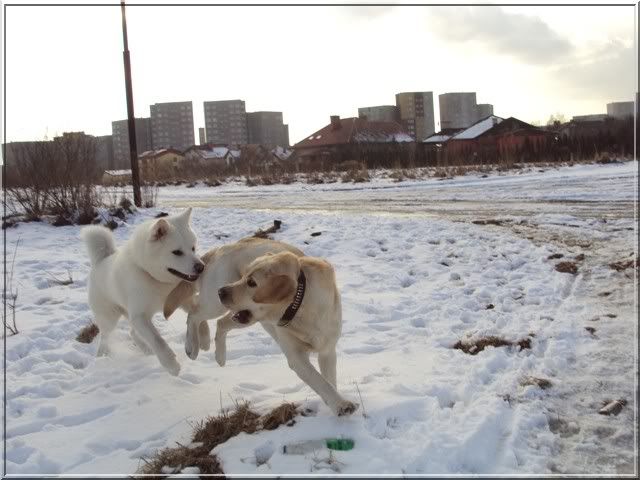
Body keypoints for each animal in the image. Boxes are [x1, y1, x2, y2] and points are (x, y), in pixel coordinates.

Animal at [81, 208, 204, 375]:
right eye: (177, 252)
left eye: (193, 248)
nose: (201, 267)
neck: (153, 278)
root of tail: (100, 261)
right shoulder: (139, 316)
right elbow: (157, 340)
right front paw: (171, 365)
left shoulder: (182, 302)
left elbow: (198, 316)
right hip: (110, 317)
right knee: (105, 336)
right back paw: (102, 356)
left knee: (133, 333)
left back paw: (146, 350)